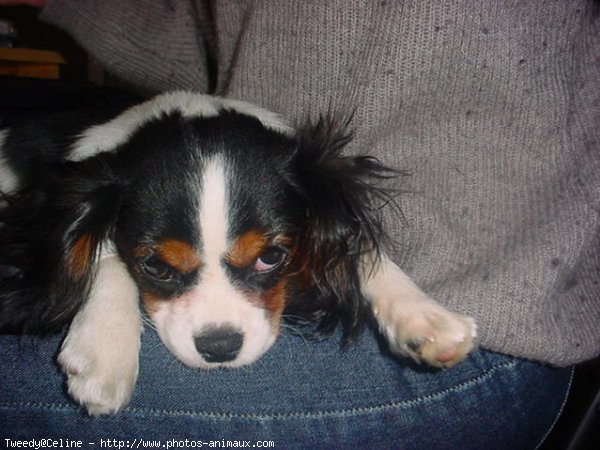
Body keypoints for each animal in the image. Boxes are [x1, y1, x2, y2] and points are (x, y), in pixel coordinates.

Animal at [1, 91, 478, 414]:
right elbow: (100, 247)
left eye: (271, 257)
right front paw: (105, 347)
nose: (219, 347)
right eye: (155, 266)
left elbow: (353, 243)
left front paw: (424, 316)